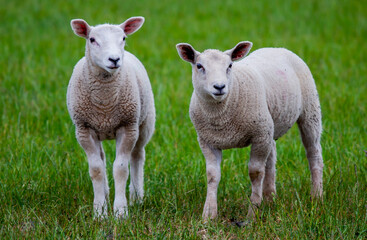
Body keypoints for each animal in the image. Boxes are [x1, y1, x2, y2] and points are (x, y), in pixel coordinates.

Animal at [67, 16, 155, 218]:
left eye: (123, 38)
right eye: (92, 39)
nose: (114, 59)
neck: (104, 104)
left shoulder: (127, 126)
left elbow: (121, 169)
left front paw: (121, 212)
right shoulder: (84, 129)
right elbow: (96, 169)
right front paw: (100, 212)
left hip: (144, 123)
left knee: (137, 156)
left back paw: (137, 197)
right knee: (102, 157)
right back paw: (106, 194)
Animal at [177, 41, 324, 223]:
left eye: (230, 65)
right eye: (199, 66)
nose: (219, 87)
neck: (221, 117)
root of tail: (277, 48)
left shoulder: (259, 136)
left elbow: (255, 173)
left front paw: (252, 214)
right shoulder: (207, 141)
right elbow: (212, 175)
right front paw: (209, 215)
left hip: (309, 110)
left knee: (313, 153)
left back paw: (316, 196)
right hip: (269, 126)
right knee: (271, 158)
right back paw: (269, 198)